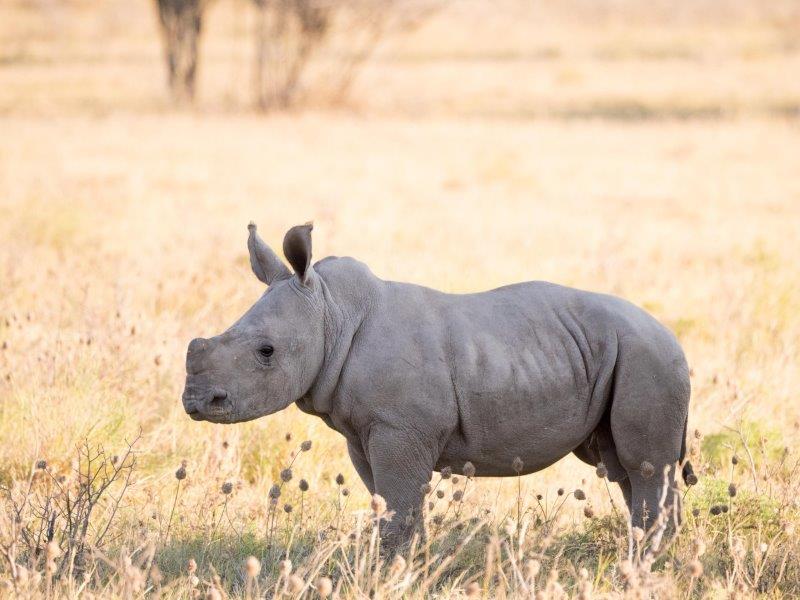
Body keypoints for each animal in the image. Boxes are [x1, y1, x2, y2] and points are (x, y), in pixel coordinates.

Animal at [183, 223, 692, 540]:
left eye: (266, 352)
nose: (195, 402)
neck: (331, 314)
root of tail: (673, 336)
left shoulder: (399, 428)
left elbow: (399, 506)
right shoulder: (364, 432)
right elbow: (390, 504)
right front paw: (410, 567)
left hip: (648, 356)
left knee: (642, 465)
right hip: (624, 354)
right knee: (624, 467)